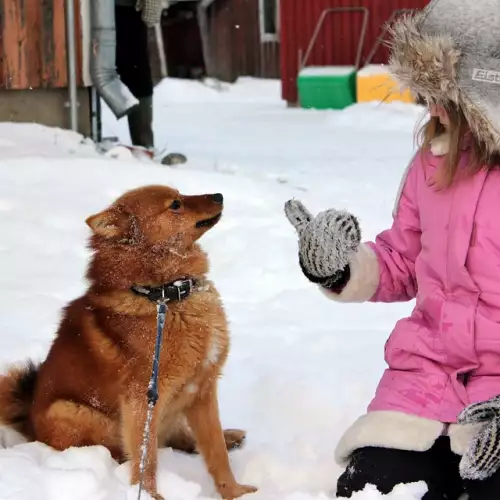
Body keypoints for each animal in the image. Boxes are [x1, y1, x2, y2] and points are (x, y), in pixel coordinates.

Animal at [0, 185, 258, 500]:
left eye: (180, 194)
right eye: (175, 204)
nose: (219, 195)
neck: (164, 295)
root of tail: (29, 418)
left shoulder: (202, 389)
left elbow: (216, 451)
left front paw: (235, 492)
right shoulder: (142, 399)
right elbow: (147, 459)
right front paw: (149, 495)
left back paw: (230, 435)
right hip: (70, 411)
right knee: (129, 449)